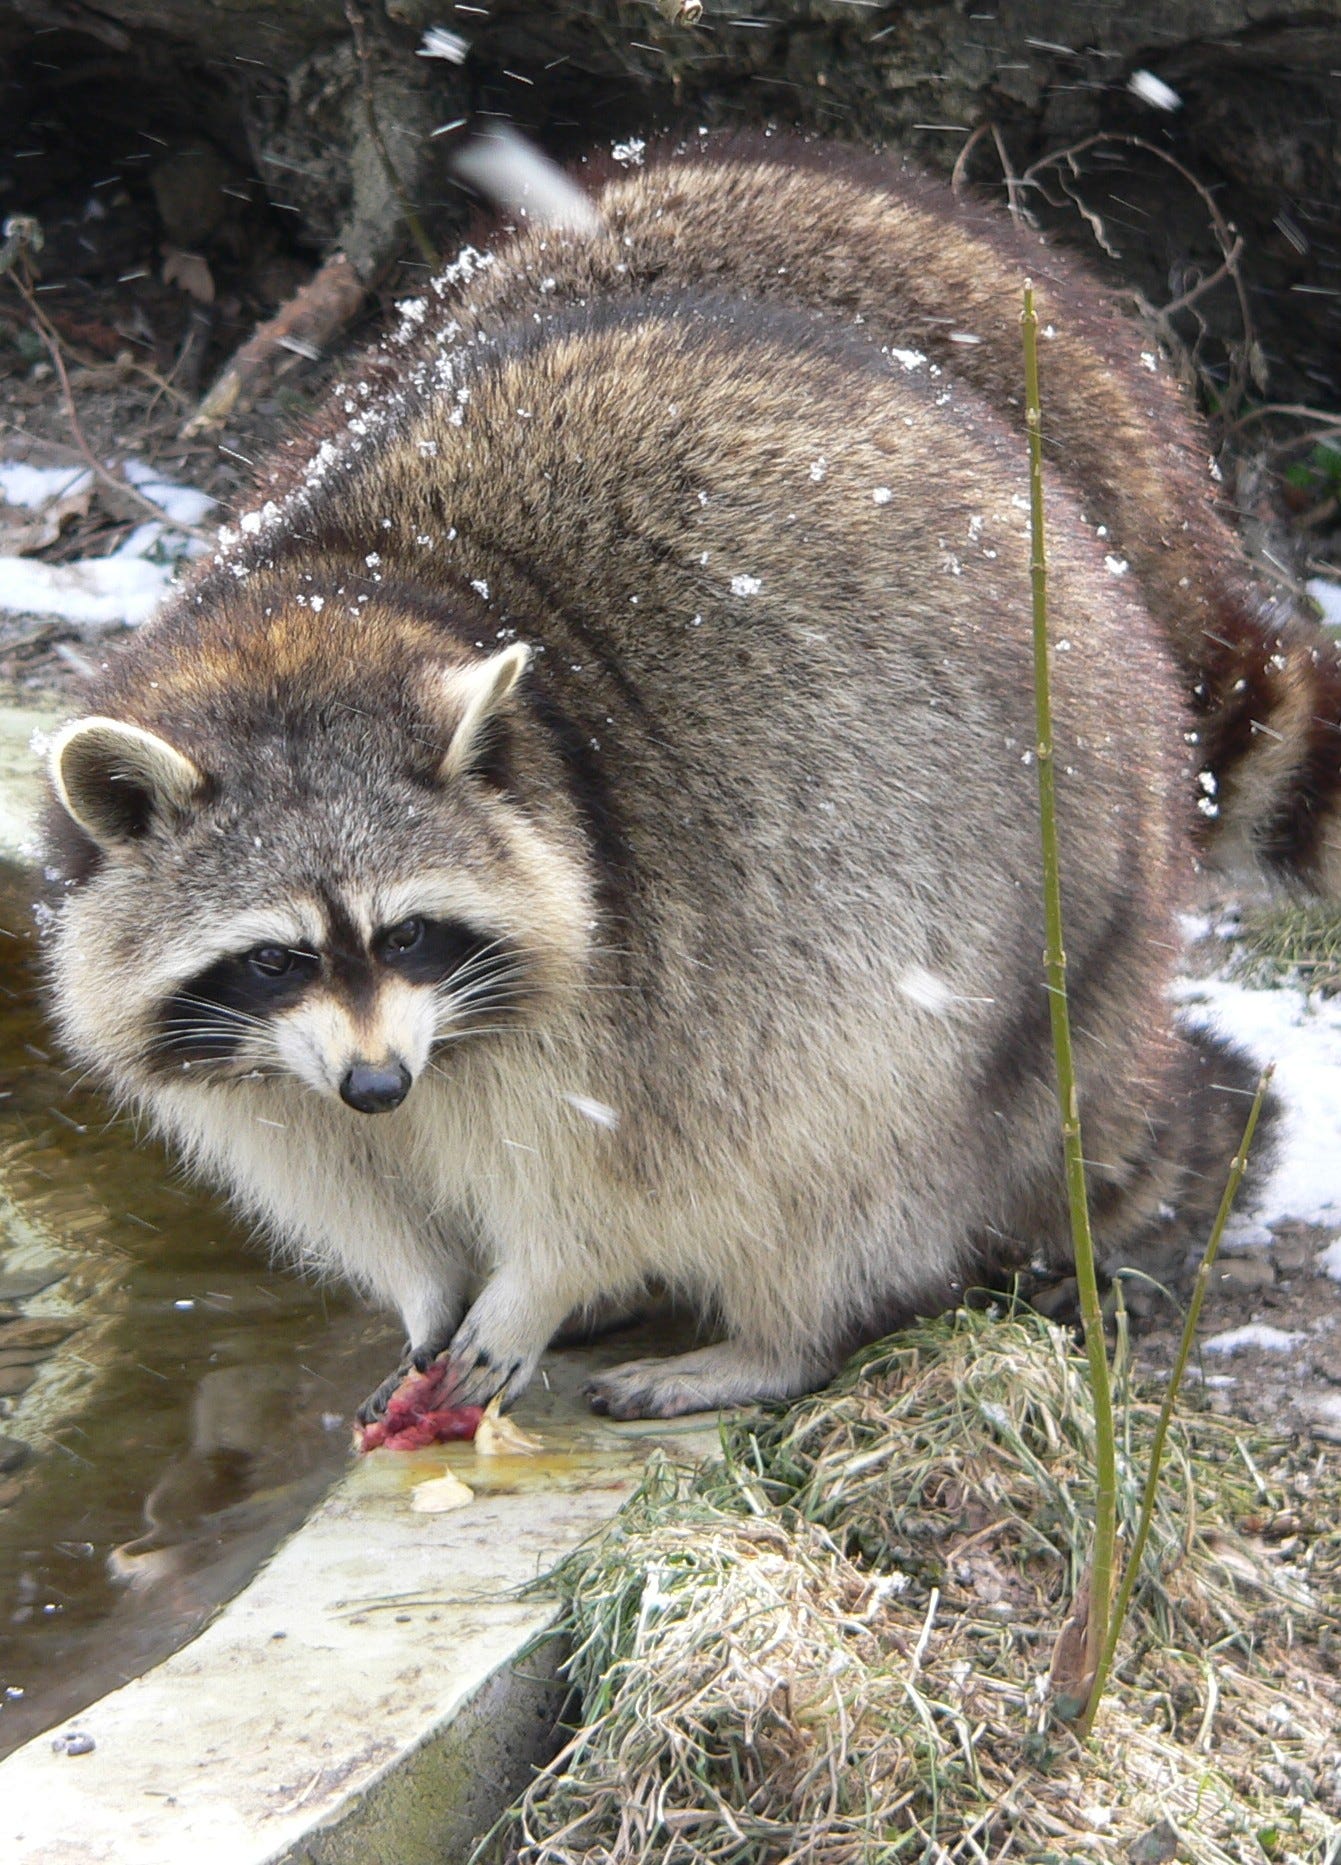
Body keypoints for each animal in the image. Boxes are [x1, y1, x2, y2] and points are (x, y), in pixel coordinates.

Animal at [44, 204, 1245, 1409]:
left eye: (410, 933)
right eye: (273, 958)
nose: (378, 1084)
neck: (331, 612)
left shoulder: (646, 947)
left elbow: (634, 1167)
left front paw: (540, 1283)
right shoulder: (266, 1072)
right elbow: (349, 1182)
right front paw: (424, 1288)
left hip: (1013, 933)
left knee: (846, 1146)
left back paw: (775, 1340)